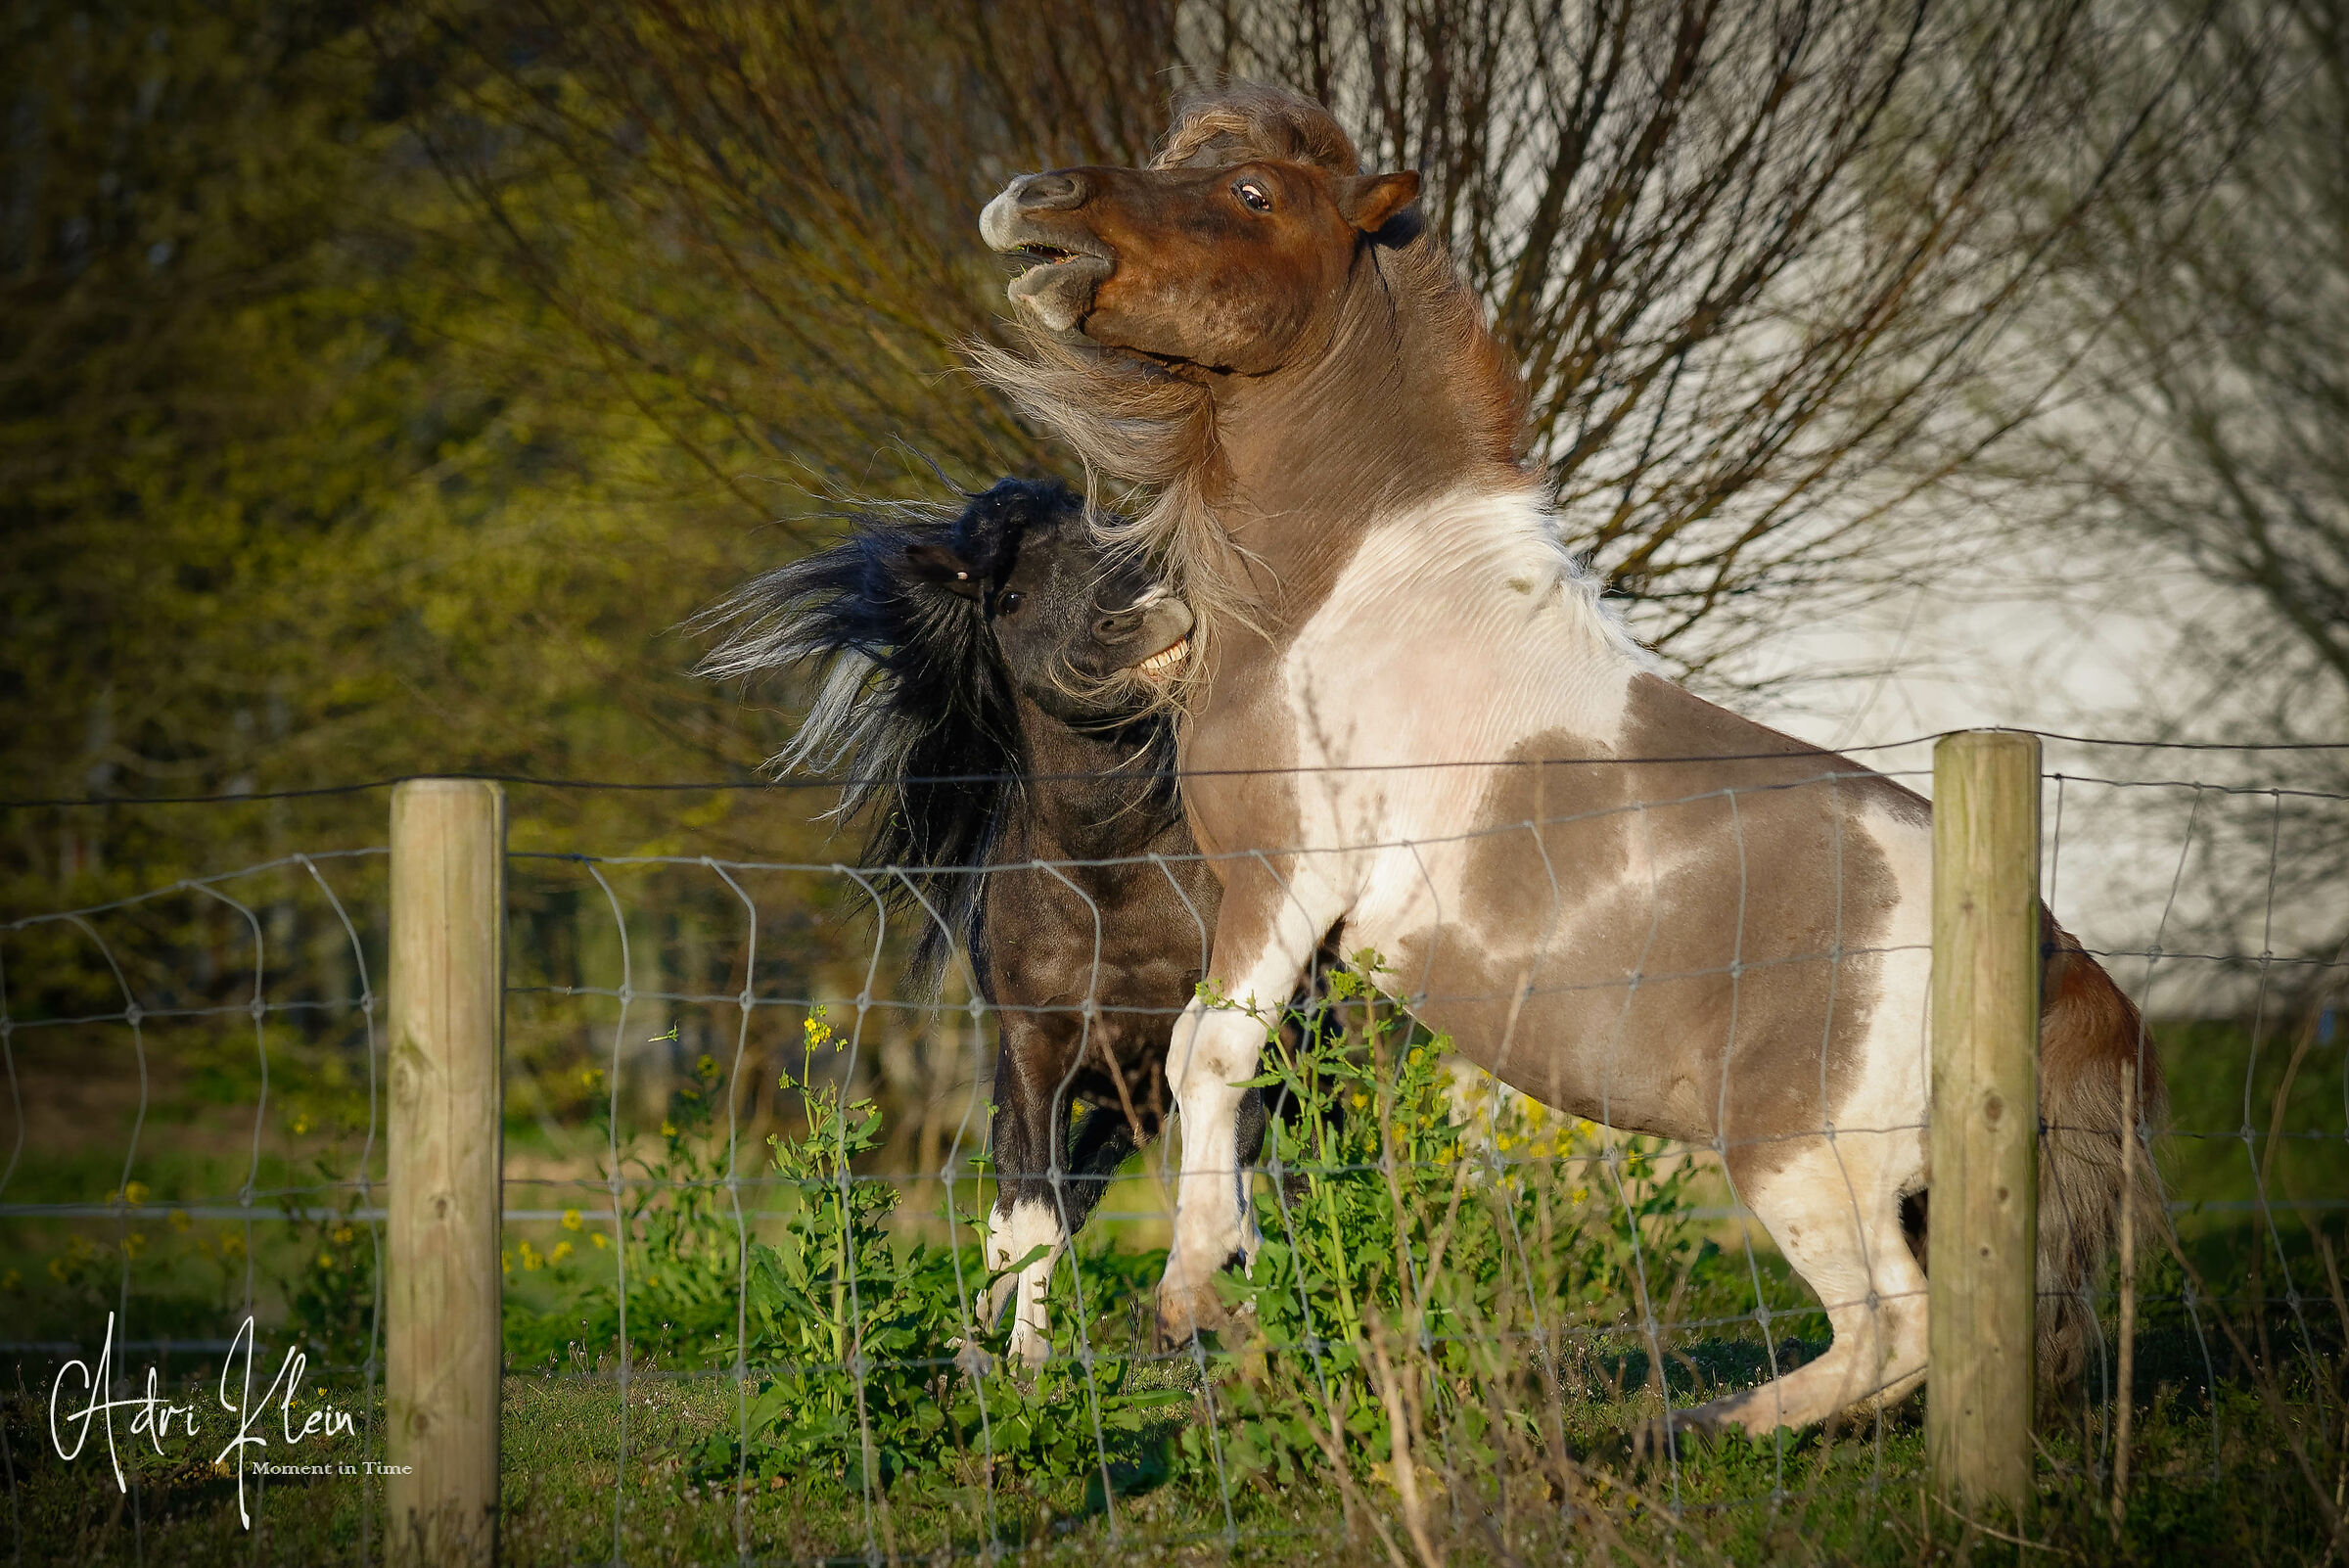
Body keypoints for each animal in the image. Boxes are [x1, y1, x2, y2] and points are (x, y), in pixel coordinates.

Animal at [700, 476, 1294, 1367]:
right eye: (1009, 597)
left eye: (1124, 552)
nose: (1147, 615)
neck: (1111, 875)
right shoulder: (1034, 1052)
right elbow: (1034, 1210)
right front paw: (1023, 1361)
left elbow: (1223, 1181)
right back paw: (975, 1336)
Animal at [975, 84, 2163, 1440]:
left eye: (1253, 196)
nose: (1037, 201)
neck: (1358, 604)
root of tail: (2059, 963)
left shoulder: (1289, 878)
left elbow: (1203, 1057)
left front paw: (1192, 1293)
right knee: (1911, 1334)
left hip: (1804, 1162)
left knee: (1888, 1325)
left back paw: (1697, 1430)